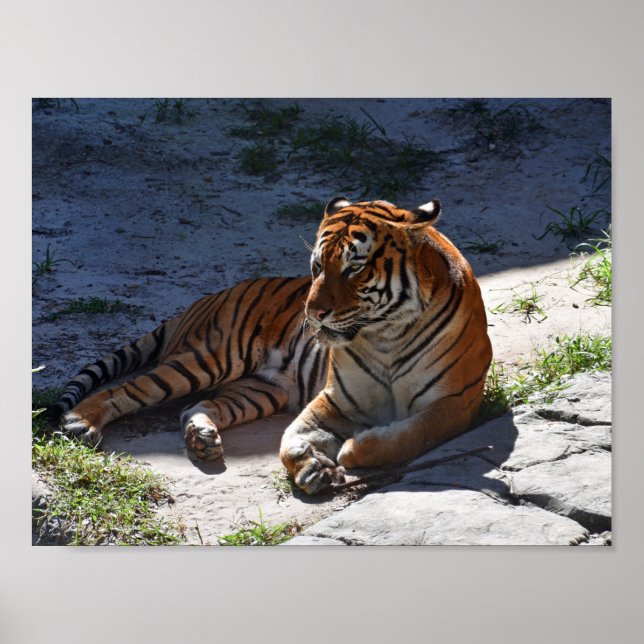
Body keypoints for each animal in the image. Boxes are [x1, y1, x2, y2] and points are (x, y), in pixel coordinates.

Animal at [54, 197, 492, 494]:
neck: (386, 335)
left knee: (196, 406)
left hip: (261, 389)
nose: (313, 312)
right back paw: (80, 421)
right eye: (317, 266)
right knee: (130, 388)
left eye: (355, 268)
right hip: (209, 358)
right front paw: (314, 466)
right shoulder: (334, 399)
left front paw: (350, 450)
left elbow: (413, 434)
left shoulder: (456, 402)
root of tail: (207, 298)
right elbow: (289, 438)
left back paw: (202, 438)